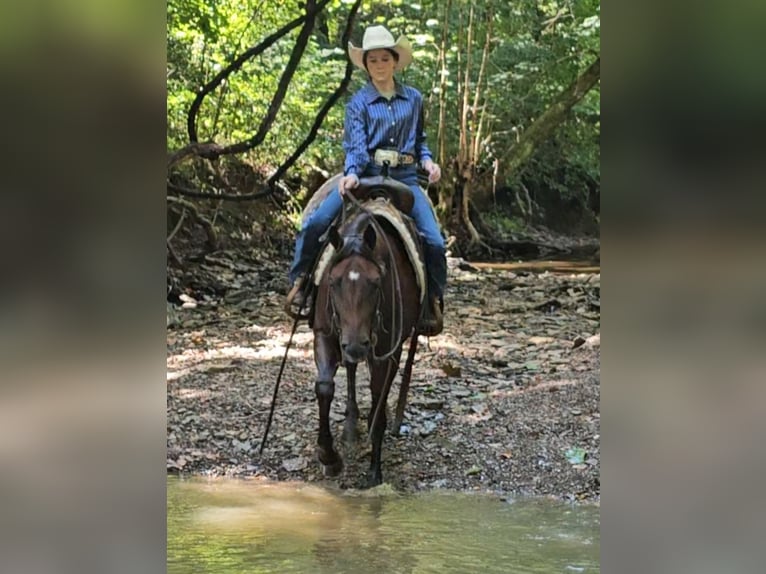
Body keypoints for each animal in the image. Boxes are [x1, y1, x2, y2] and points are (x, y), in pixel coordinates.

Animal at [308, 177, 424, 487]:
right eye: (333, 281)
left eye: (376, 282)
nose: (356, 345)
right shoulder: (325, 333)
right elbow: (325, 387)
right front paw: (329, 457)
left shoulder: (389, 350)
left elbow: (379, 402)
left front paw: (374, 471)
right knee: (349, 369)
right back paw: (351, 425)